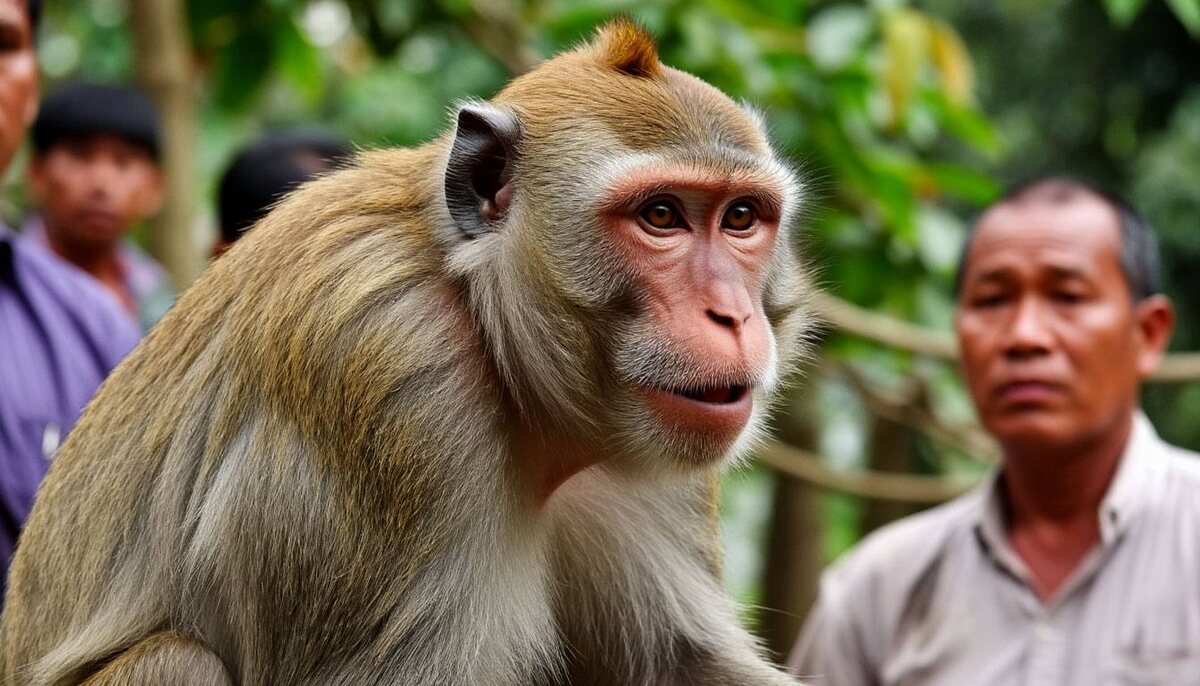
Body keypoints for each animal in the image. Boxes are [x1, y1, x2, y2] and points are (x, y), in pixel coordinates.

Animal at [0, 20, 810, 686]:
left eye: (741, 218)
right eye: (661, 216)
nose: (733, 315)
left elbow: (679, 663)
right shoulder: (388, 376)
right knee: (177, 660)